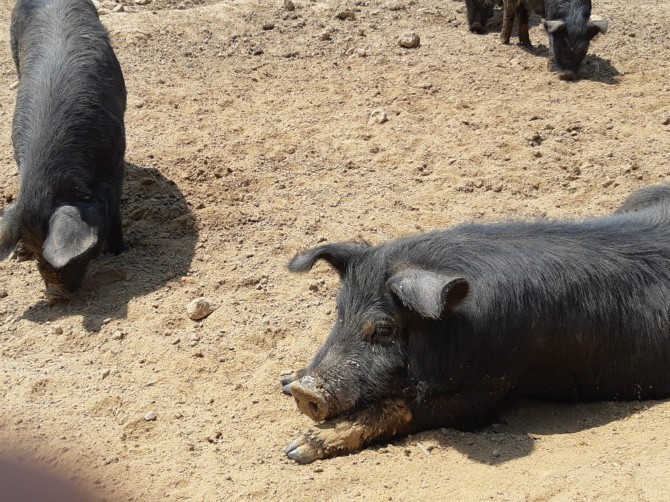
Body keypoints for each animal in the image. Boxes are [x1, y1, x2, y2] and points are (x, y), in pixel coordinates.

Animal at [280, 186, 670, 464]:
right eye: (339, 312)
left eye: (384, 329)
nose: (306, 391)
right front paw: (287, 380)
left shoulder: (492, 385)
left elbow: (401, 406)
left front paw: (297, 450)